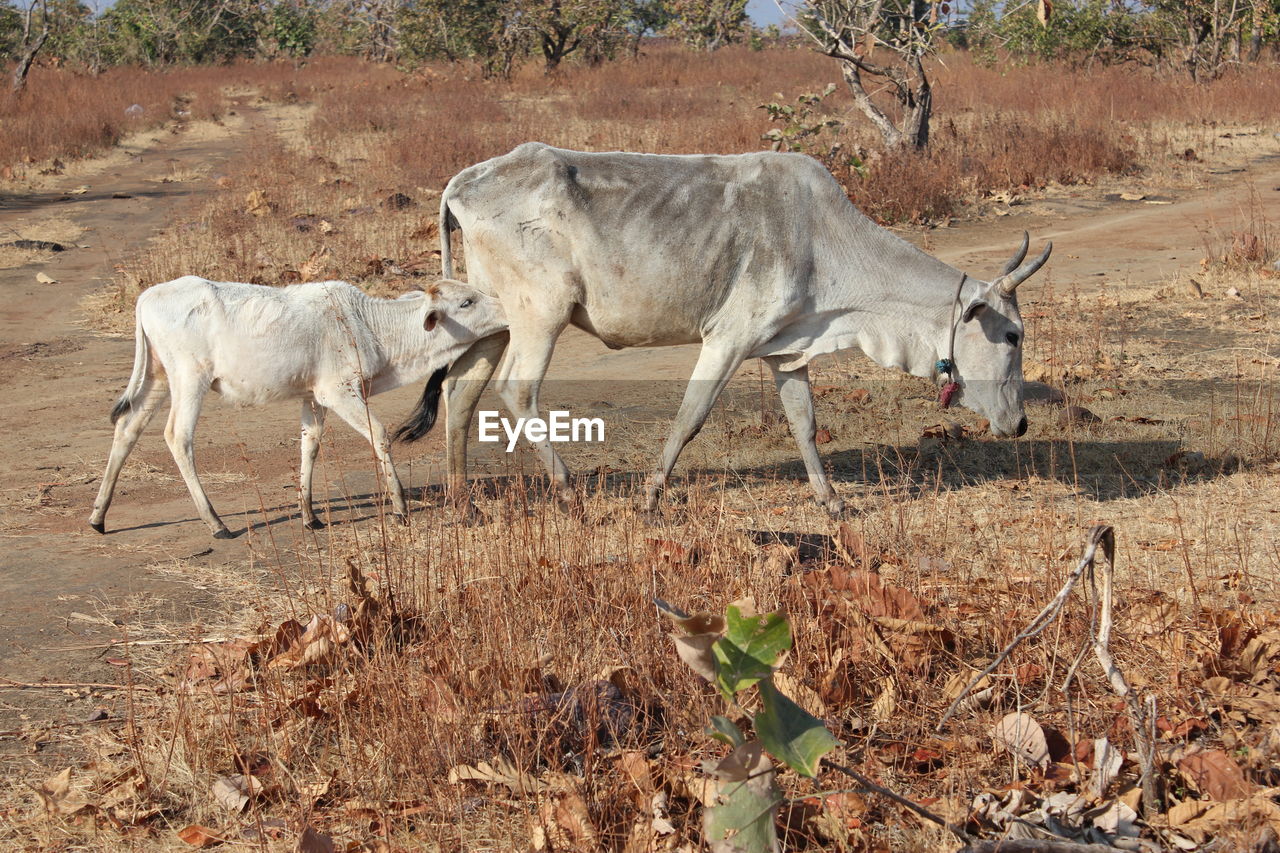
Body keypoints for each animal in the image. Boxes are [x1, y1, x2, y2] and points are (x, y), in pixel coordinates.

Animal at [88, 275, 504, 535]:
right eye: (467, 302)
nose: (504, 306)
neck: (370, 325)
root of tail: (148, 297)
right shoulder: (340, 391)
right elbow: (380, 435)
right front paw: (400, 506)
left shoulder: (313, 398)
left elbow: (309, 447)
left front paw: (308, 514)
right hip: (190, 379)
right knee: (178, 437)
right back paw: (215, 522)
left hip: (159, 377)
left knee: (128, 427)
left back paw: (99, 516)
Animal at [430, 143, 1049, 514]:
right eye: (1012, 336)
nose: (1020, 424)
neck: (825, 241)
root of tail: (463, 181)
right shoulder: (726, 339)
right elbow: (689, 418)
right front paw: (651, 498)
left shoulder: (787, 351)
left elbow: (804, 425)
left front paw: (831, 502)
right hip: (541, 313)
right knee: (517, 390)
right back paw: (566, 487)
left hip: (493, 316)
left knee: (461, 393)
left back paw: (462, 500)